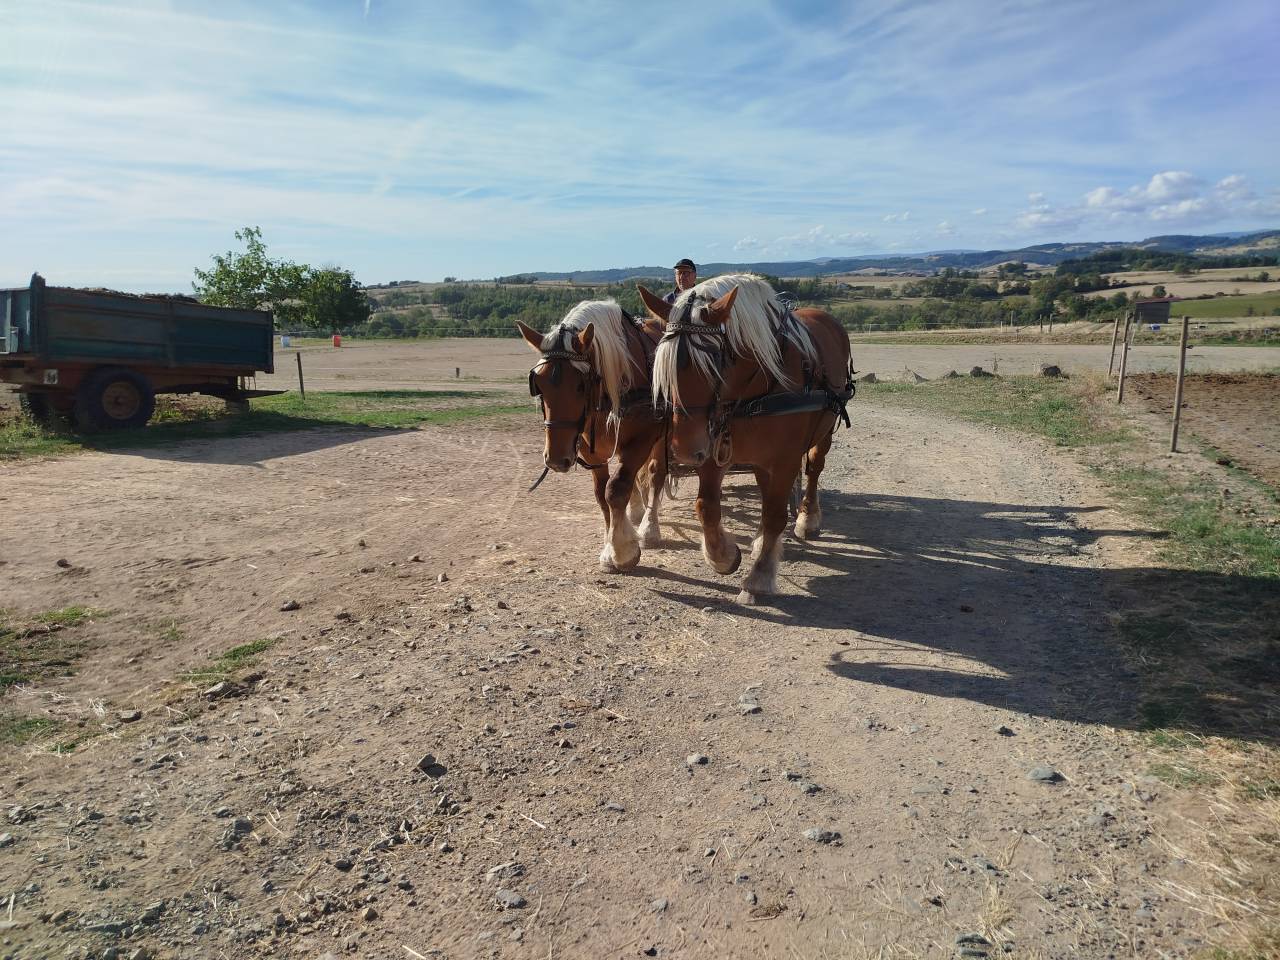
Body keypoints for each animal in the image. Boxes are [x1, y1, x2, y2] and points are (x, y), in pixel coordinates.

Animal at [517, 300, 669, 572]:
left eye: (581, 385)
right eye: (539, 386)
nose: (556, 460)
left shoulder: (643, 438)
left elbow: (616, 489)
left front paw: (623, 551)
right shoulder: (591, 450)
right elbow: (602, 495)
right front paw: (610, 548)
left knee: (655, 474)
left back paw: (649, 529)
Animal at [637, 275, 852, 604]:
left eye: (715, 363)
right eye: (662, 363)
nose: (684, 451)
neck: (755, 391)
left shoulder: (786, 459)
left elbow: (776, 514)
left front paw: (760, 576)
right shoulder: (714, 447)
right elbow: (706, 506)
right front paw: (723, 556)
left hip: (823, 433)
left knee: (814, 471)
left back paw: (808, 520)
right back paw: (761, 538)